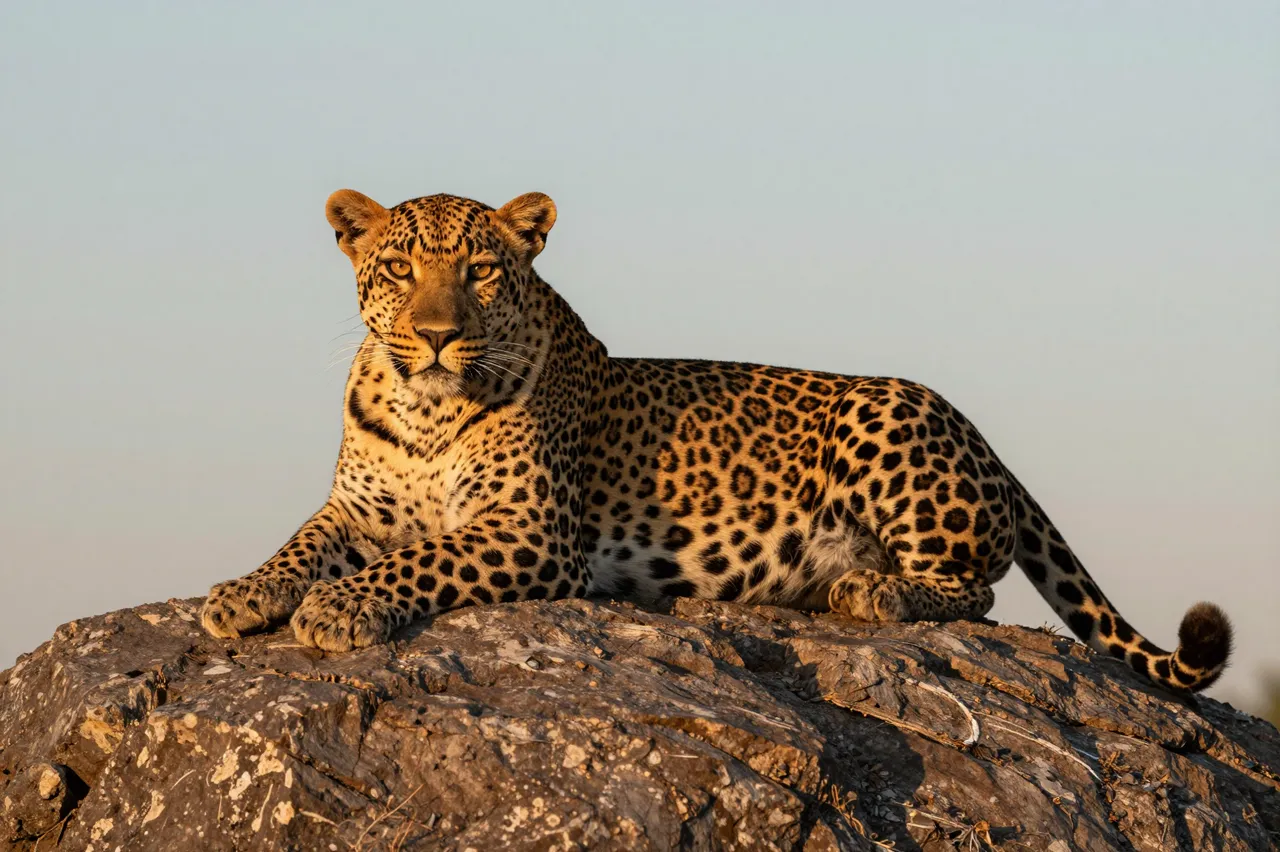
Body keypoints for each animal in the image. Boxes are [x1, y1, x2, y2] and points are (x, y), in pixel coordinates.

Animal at [201, 188, 1233, 692]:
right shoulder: (356, 508)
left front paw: (341, 611)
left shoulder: (530, 531)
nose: (438, 334)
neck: (426, 410)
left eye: (483, 270)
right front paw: (239, 595)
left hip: (886, 420)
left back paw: (871, 588)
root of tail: (989, 443)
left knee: (973, 589)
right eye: (398, 269)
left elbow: (420, 562)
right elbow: (302, 543)